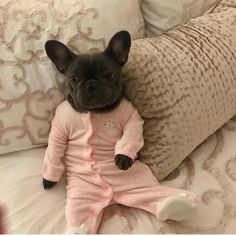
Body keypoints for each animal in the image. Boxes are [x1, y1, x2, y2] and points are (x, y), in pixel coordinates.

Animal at [43, 30, 134, 190]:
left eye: (109, 75)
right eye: (74, 78)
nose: (91, 85)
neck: (94, 110)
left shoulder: (131, 114)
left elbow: (132, 133)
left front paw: (123, 157)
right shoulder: (59, 125)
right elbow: (54, 149)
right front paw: (49, 178)